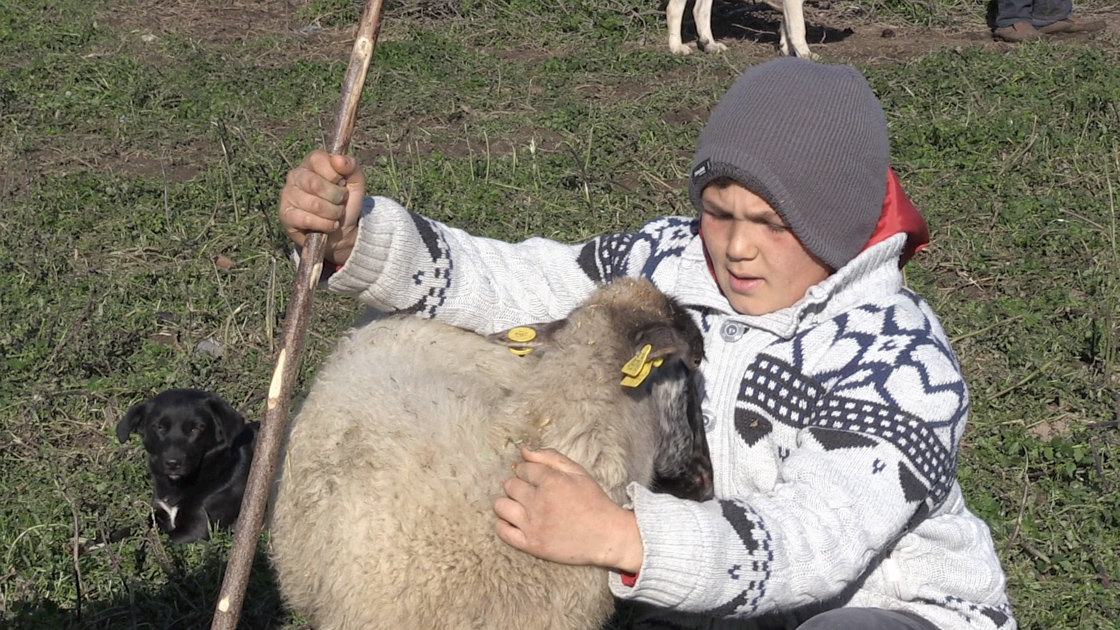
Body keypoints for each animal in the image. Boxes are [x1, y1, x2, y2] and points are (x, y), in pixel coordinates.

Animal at [117, 385, 258, 542]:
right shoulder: (157, 514)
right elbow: (129, 531)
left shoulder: (198, 528)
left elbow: (161, 540)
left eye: (195, 428)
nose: (172, 463)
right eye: (159, 427)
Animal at [663, 0, 815, 56]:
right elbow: (797, 27)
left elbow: (787, 24)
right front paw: (805, 54)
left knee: (699, 10)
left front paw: (786, 48)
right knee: (673, 9)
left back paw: (710, 44)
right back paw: (676, 46)